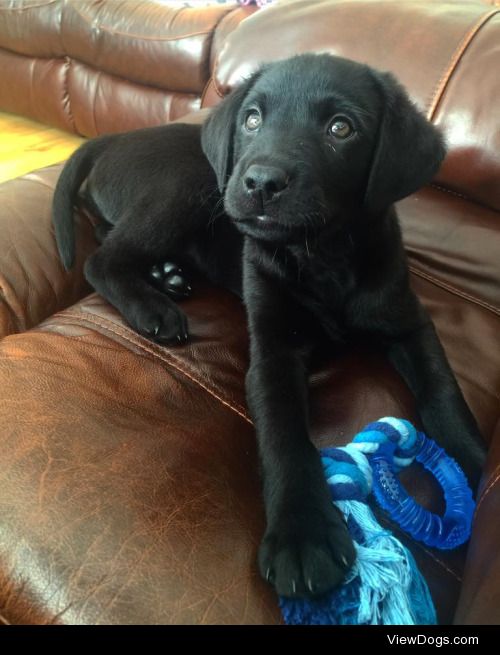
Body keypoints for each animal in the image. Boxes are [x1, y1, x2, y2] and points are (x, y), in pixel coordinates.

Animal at [52, 55, 486, 600]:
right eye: (253, 119)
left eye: (341, 128)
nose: (260, 182)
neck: (321, 256)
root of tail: (115, 138)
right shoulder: (273, 353)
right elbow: (284, 436)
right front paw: (303, 533)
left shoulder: (408, 321)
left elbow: (443, 390)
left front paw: (478, 465)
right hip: (187, 186)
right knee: (101, 259)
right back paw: (154, 307)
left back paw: (165, 276)